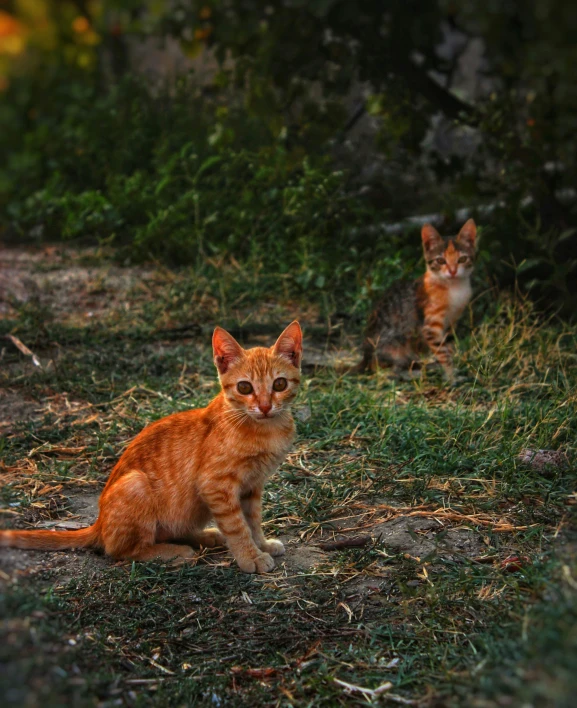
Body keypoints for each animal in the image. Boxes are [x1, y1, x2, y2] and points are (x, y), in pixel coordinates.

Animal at [0, 324, 304, 572]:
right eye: (244, 387)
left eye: (279, 384)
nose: (265, 406)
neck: (264, 428)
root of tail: (98, 524)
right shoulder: (215, 485)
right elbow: (237, 526)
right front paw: (250, 557)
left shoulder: (252, 486)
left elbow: (252, 520)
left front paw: (261, 545)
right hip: (136, 484)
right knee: (121, 551)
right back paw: (174, 552)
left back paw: (205, 537)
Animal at [358, 220, 474, 378]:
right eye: (440, 260)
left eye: (462, 259)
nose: (452, 271)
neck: (453, 287)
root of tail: (365, 358)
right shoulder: (430, 327)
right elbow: (442, 352)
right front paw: (451, 376)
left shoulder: (450, 324)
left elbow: (448, 347)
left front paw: (453, 371)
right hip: (395, 345)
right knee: (386, 369)